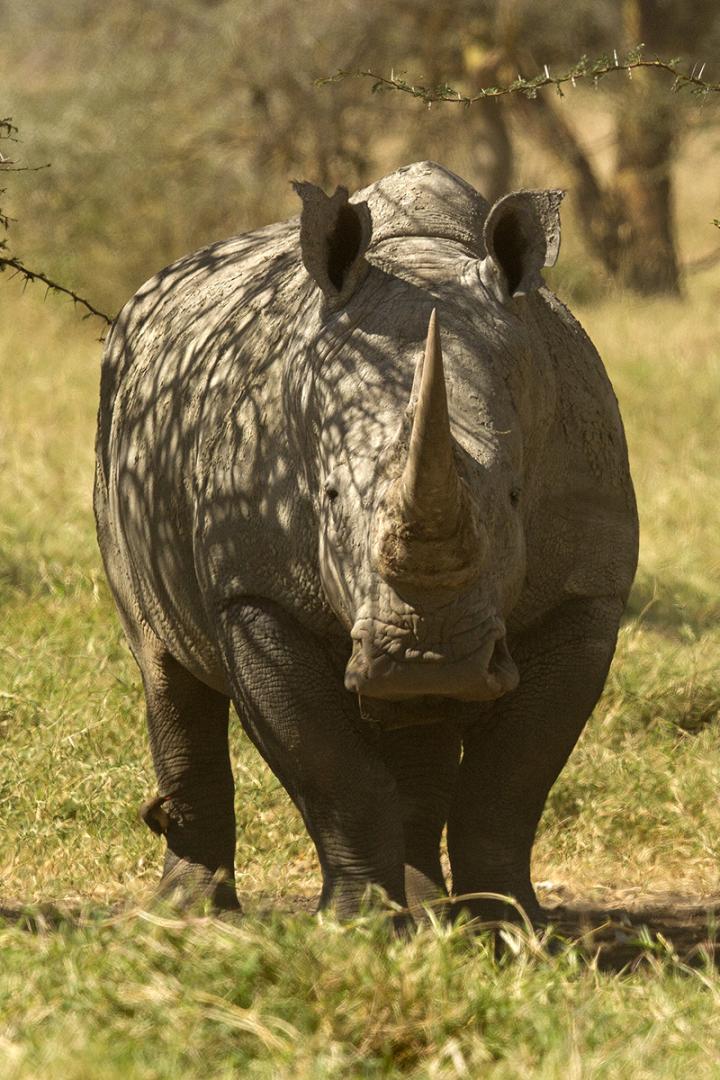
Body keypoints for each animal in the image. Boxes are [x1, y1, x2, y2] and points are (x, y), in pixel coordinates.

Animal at [95, 161, 638, 922]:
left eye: (514, 497)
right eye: (325, 497)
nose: (426, 658)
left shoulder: (585, 592)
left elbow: (512, 780)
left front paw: (510, 926)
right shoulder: (257, 591)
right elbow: (332, 768)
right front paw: (356, 925)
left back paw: (429, 910)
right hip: (117, 425)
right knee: (163, 664)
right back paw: (187, 913)